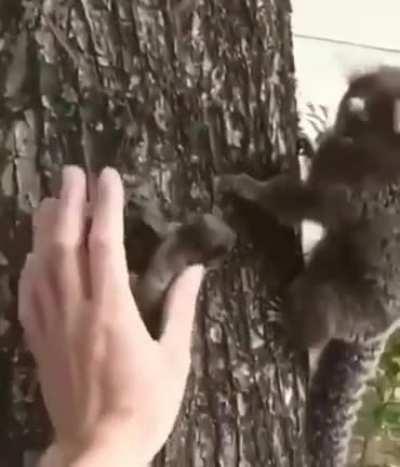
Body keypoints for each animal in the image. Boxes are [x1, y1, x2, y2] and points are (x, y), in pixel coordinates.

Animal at [216, 66, 400, 467]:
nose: (342, 119)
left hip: (355, 305)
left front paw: (245, 187)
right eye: (349, 100)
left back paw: (292, 326)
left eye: (359, 111)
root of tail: (381, 330)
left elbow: (298, 203)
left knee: (320, 305)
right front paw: (308, 143)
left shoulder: (361, 191)